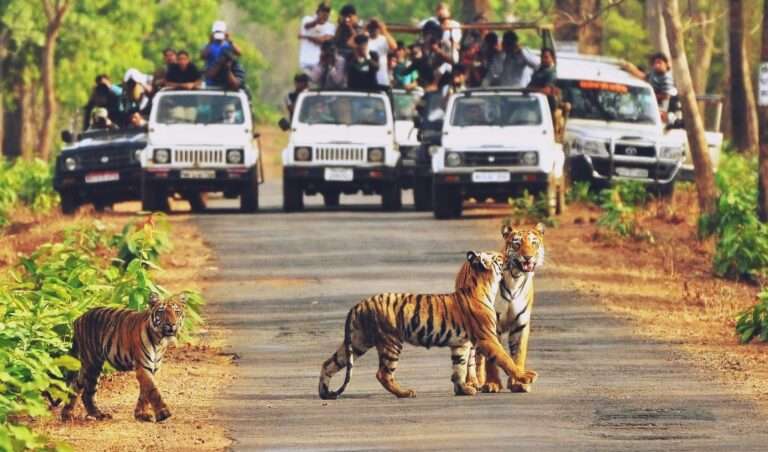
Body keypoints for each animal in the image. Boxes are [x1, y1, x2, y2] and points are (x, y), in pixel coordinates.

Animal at [60, 292, 186, 422]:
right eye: (161, 312)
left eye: (177, 312)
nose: (171, 324)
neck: (159, 341)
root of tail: (78, 318)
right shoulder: (143, 367)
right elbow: (152, 390)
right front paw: (163, 413)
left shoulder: (152, 368)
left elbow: (144, 392)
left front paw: (141, 414)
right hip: (93, 363)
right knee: (87, 393)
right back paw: (98, 415)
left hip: (88, 365)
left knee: (75, 385)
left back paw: (67, 414)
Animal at [318, 251, 538, 399]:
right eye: (499, 257)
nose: (509, 255)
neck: (484, 286)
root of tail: (359, 304)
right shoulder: (487, 338)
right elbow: (506, 359)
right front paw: (526, 376)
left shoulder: (461, 344)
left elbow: (459, 367)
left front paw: (463, 389)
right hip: (391, 342)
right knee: (383, 373)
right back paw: (405, 392)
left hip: (358, 342)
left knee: (329, 363)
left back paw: (324, 392)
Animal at [456, 223, 544, 394]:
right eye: (517, 244)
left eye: (534, 243)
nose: (528, 257)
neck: (516, 278)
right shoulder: (492, 324)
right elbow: (493, 359)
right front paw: (493, 384)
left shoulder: (521, 324)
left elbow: (518, 354)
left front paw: (518, 383)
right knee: (472, 356)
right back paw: (472, 382)